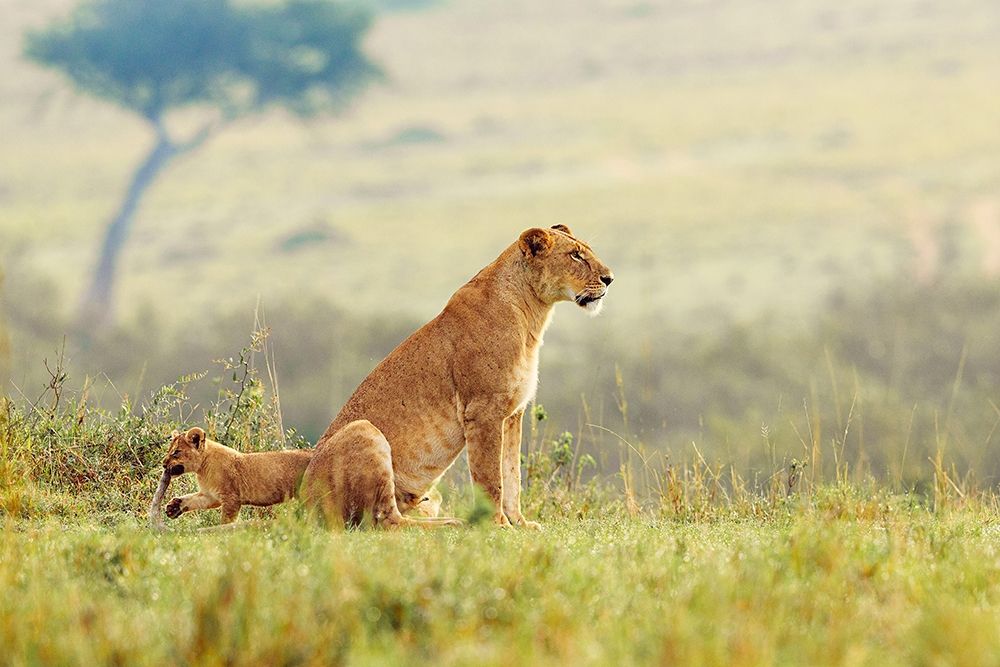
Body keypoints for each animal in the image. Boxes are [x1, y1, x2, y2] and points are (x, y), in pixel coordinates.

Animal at [302, 225, 613, 528]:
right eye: (575, 255)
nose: (609, 279)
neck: (532, 317)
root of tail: (303, 503)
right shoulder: (483, 410)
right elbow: (491, 478)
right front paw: (497, 525)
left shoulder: (513, 414)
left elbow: (512, 474)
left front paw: (520, 523)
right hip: (363, 430)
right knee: (386, 521)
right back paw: (455, 523)